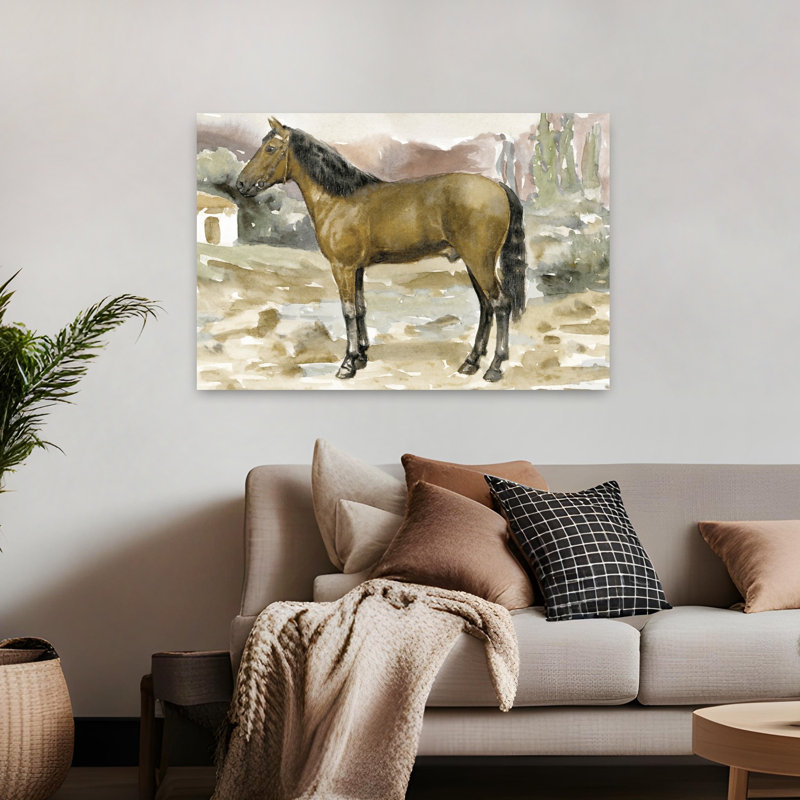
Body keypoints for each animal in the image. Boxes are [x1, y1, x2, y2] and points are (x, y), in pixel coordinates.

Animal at [236, 117, 528, 382]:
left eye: (270, 148)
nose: (240, 184)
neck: (340, 198)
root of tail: (499, 186)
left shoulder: (342, 267)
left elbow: (348, 311)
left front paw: (347, 364)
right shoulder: (357, 269)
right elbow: (361, 308)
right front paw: (361, 356)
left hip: (480, 262)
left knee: (501, 304)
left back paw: (494, 367)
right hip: (473, 263)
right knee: (486, 307)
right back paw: (471, 362)